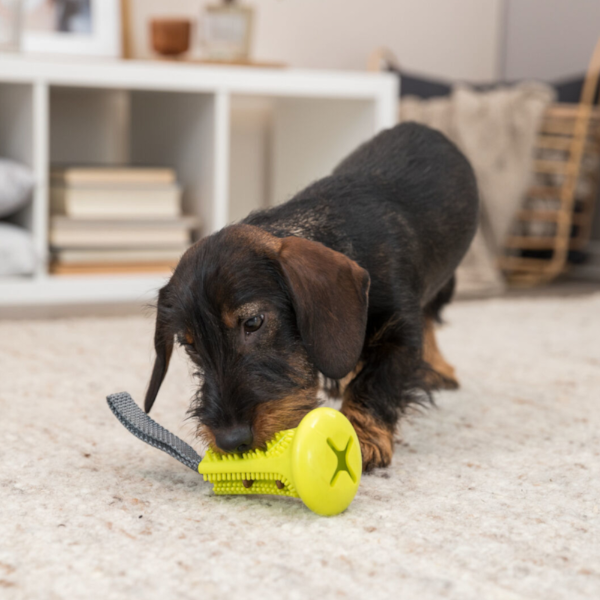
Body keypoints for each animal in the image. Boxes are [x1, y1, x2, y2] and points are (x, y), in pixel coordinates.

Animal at [145, 120, 478, 468]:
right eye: (190, 346)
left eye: (253, 322)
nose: (232, 441)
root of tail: (420, 126)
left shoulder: (402, 333)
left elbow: (376, 382)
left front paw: (361, 438)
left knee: (430, 316)